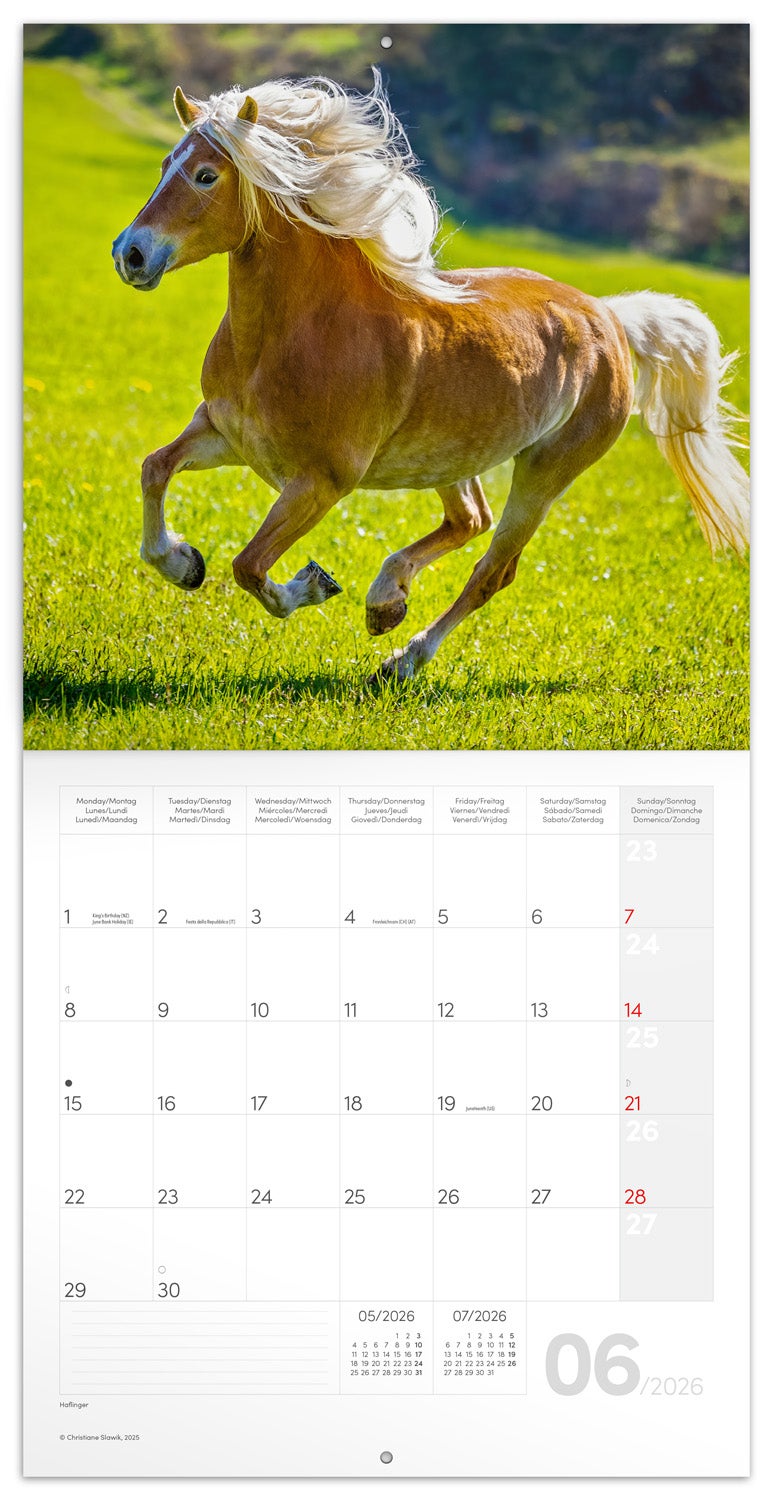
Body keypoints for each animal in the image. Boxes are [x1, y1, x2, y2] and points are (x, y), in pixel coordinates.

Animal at [111, 74, 749, 683]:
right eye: (165, 164)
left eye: (205, 175)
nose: (131, 254)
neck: (290, 338)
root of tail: (612, 318)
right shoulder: (225, 434)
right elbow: (154, 469)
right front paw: (184, 563)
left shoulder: (321, 481)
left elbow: (249, 566)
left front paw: (312, 585)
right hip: (452, 457)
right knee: (469, 519)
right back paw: (386, 600)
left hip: (545, 473)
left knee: (493, 570)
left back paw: (403, 658)